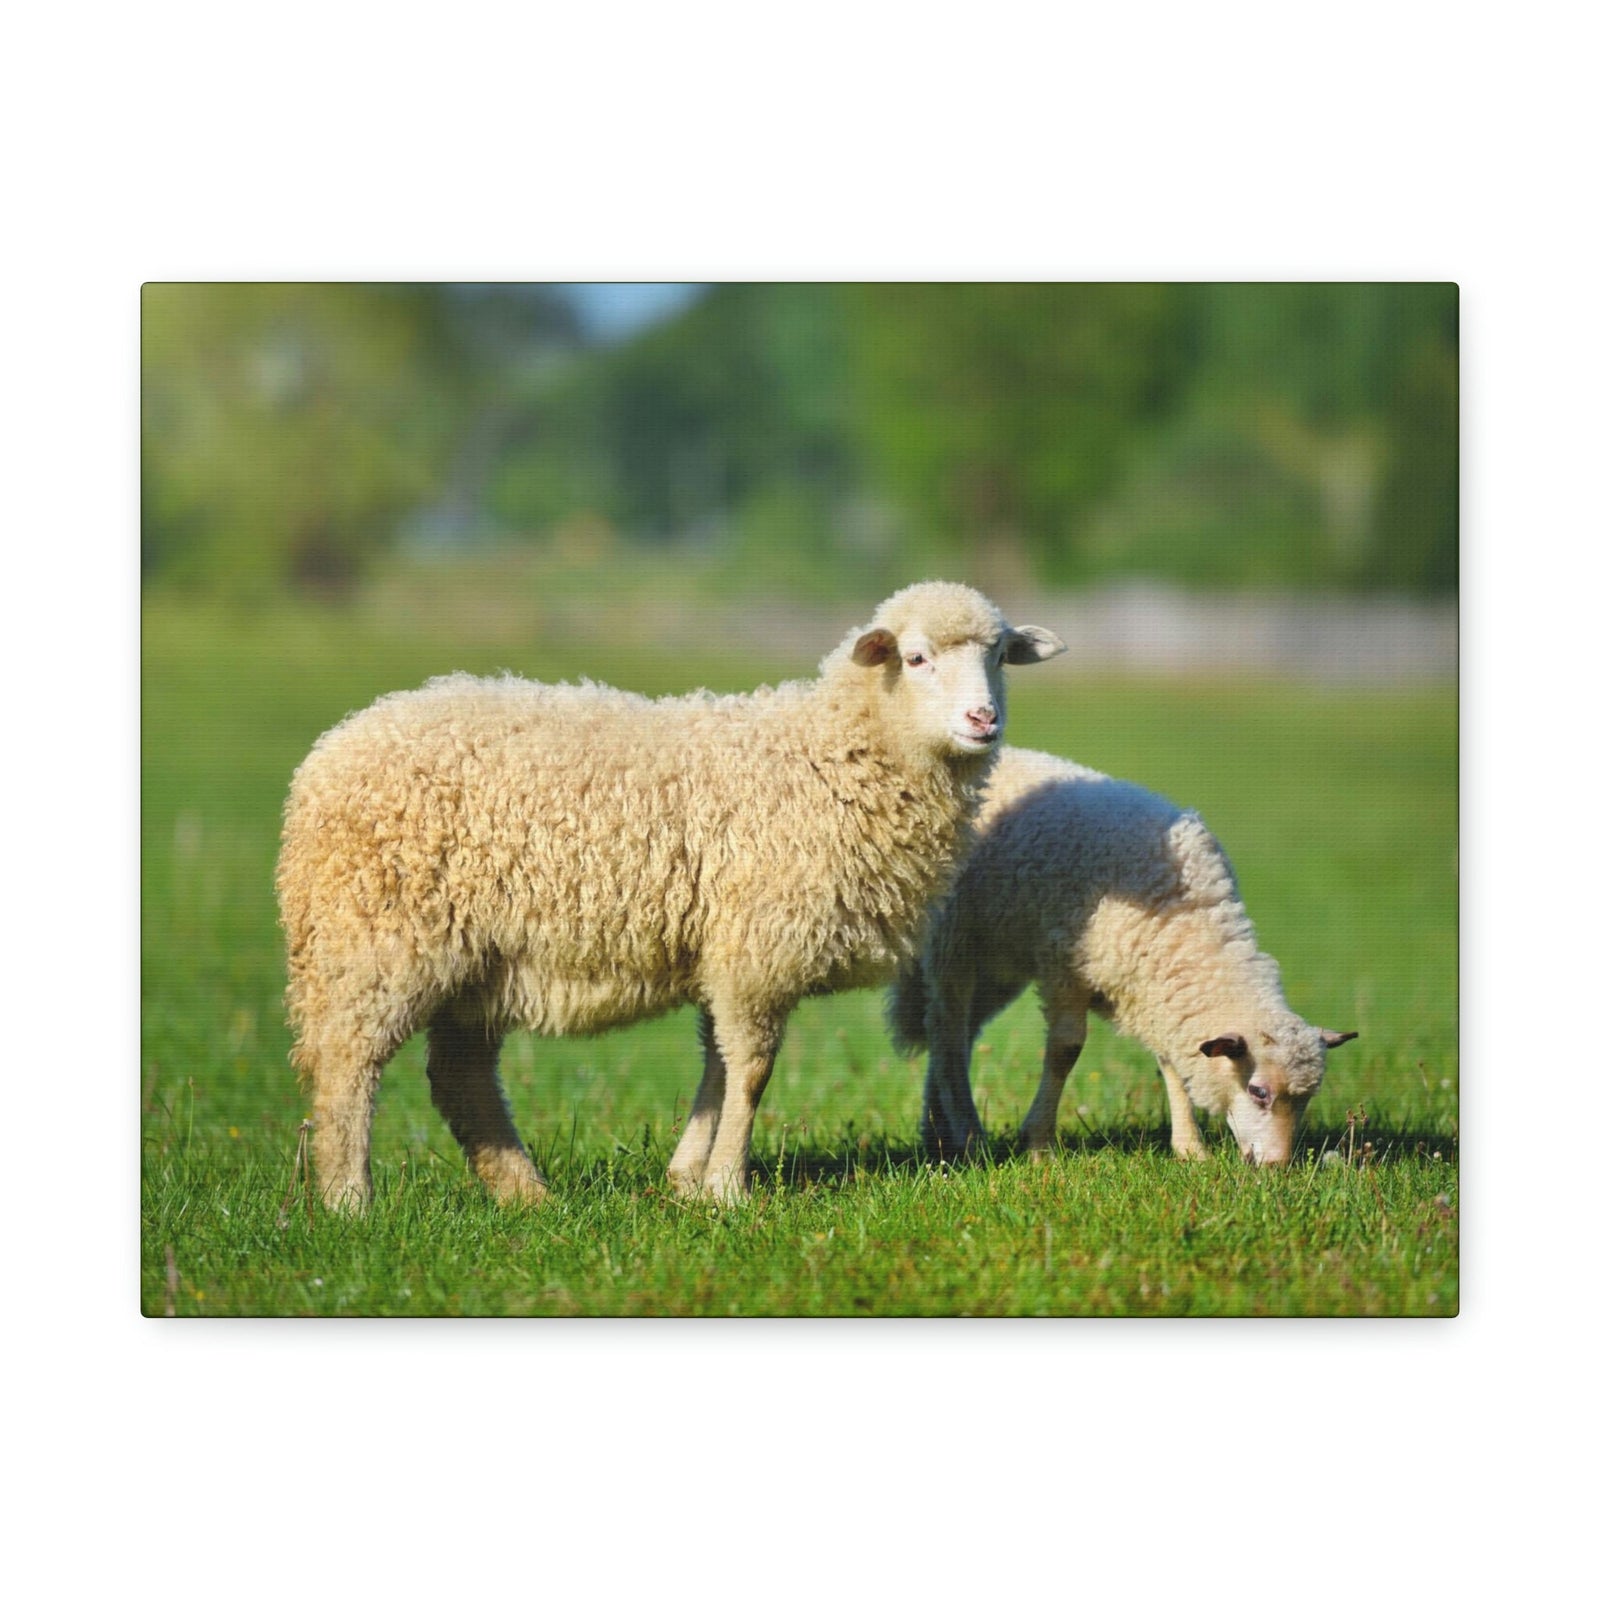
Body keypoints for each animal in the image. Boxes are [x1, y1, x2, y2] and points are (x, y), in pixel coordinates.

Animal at [275, 582, 1064, 1210]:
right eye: (918, 658)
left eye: (999, 656)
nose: (983, 720)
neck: (832, 756)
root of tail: (325, 758)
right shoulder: (756, 947)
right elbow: (752, 1070)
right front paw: (728, 1188)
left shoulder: (728, 947)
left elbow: (718, 1062)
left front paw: (687, 1178)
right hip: (376, 938)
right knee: (347, 1064)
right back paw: (350, 1201)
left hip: (478, 961)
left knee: (459, 1077)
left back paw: (526, 1196)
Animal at [888, 747, 1357, 1167]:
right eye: (1258, 1091)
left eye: (1307, 1099)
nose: (1276, 1166)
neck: (1186, 921)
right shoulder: (1065, 968)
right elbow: (1065, 1051)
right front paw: (1038, 1144)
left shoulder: (1154, 989)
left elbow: (1171, 1063)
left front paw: (1190, 1150)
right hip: (955, 941)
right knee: (947, 1031)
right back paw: (967, 1134)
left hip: (998, 964)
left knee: (957, 1034)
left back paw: (938, 1131)